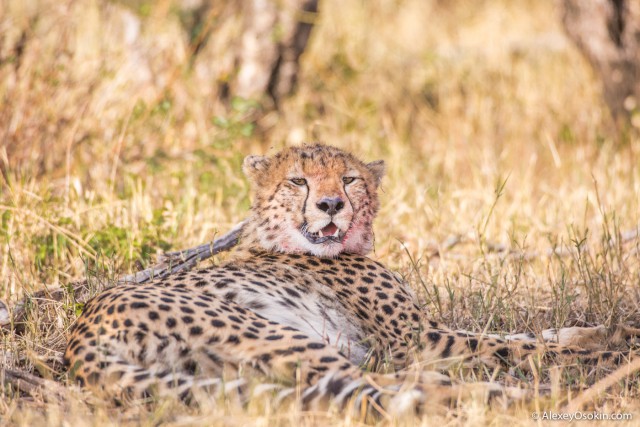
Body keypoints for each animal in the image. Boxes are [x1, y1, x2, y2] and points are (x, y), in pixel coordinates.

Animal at [66, 144, 640, 414]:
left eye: (349, 179)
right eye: (298, 180)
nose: (330, 205)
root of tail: (81, 330)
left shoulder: (425, 332)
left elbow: (531, 334)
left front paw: (613, 334)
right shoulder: (414, 340)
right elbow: (518, 346)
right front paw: (607, 362)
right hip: (282, 335)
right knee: (382, 389)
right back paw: (519, 397)